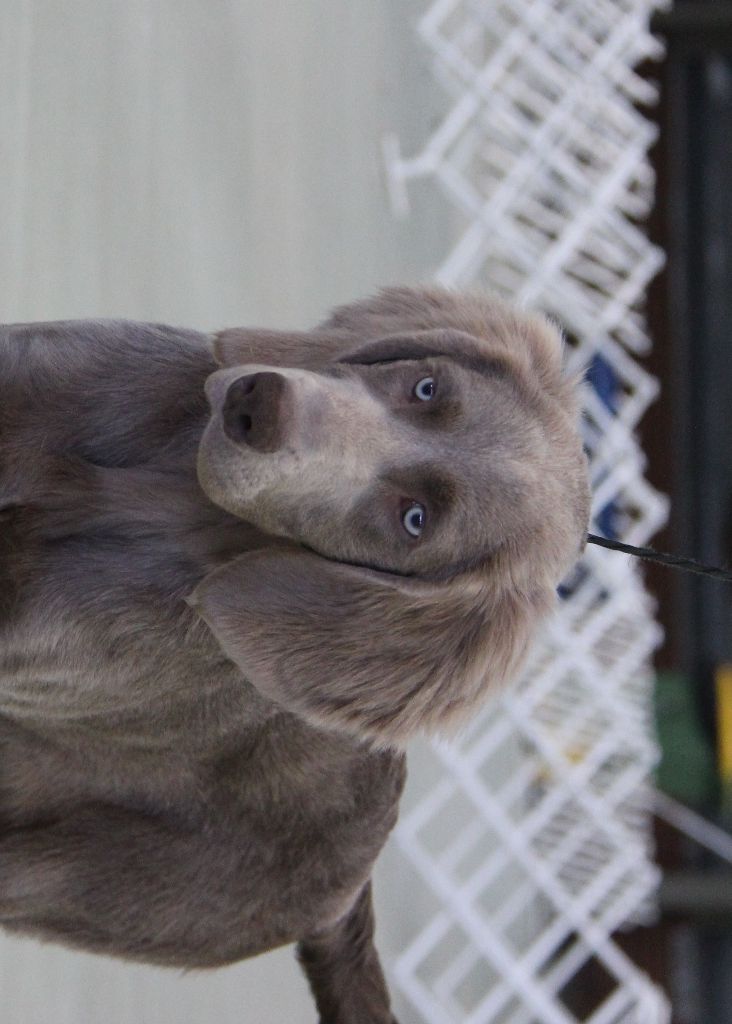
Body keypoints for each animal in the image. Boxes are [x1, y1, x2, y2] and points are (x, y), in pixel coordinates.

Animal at [0, 286, 589, 1023]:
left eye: (413, 519)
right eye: (426, 388)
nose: (258, 403)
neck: (154, 487)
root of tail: (350, 896)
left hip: (81, 874)